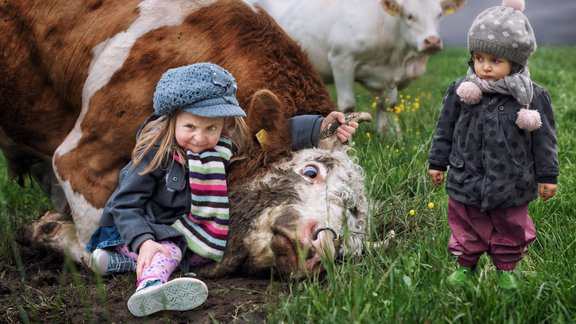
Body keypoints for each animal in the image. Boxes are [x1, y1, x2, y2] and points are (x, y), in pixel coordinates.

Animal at [2, 0, 372, 278]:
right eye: (310, 171)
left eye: (347, 245)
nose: (322, 248)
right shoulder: (80, 160)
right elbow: (101, 251)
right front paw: (45, 229)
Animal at [250, 0, 466, 132]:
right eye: (410, 16)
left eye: (439, 15)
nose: (432, 41)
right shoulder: (342, 59)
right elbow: (347, 105)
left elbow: (388, 105)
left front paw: (389, 133)